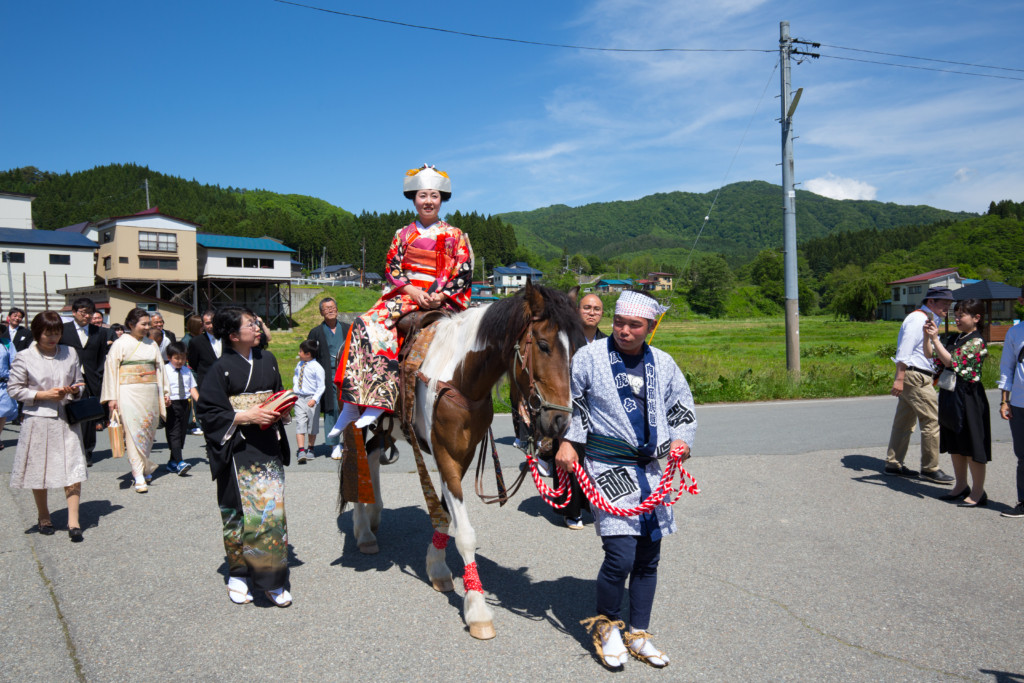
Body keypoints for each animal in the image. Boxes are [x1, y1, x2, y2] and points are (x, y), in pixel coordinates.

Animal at [342, 282, 585, 643]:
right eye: (543, 345)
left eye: (577, 350)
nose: (560, 422)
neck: (459, 377)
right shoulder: (444, 454)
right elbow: (465, 532)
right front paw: (477, 609)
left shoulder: (462, 455)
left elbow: (444, 516)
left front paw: (437, 566)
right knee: (359, 458)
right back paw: (363, 531)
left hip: (386, 428)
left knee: (372, 455)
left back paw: (373, 516)